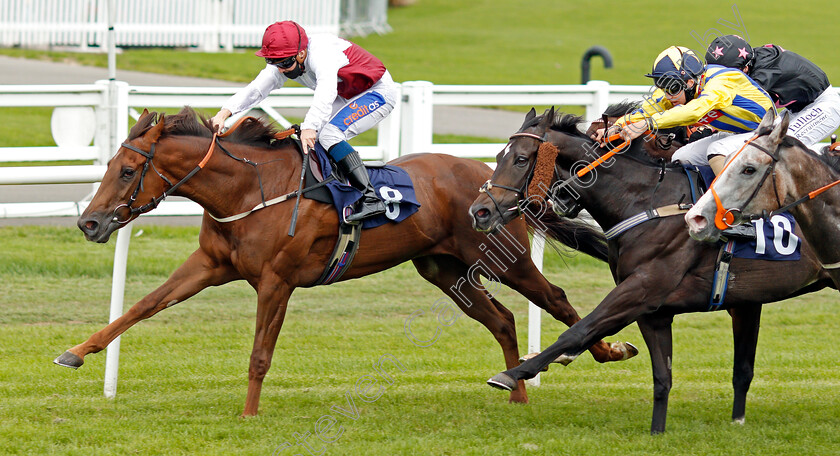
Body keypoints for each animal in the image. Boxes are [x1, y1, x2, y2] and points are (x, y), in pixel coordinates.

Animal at [52, 107, 632, 416]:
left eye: (128, 171)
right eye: (110, 165)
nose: (90, 223)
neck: (248, 190)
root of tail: (492, 182)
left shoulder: (276, 281)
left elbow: (259, 354)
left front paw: (249, 414)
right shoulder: (210, 266)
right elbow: (142, 307)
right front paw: (76, 352)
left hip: (501, 260)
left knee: (555, 298)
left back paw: (607, 351)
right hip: (444, 271)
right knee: (504, 318)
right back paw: (516, 392)